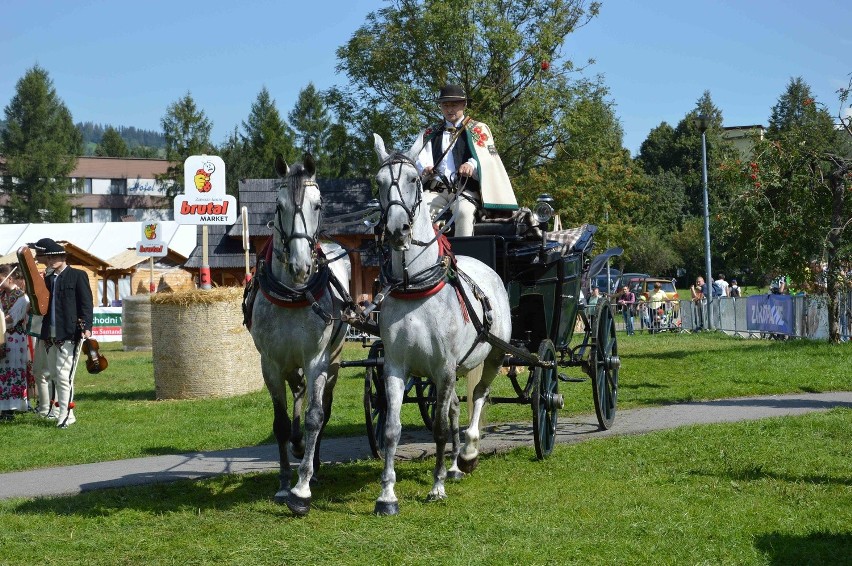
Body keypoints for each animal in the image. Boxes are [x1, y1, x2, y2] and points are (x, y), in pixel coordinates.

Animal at [250, 154, 350, 520]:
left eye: (317, 204)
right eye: (278, 206)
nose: (300, 266)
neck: (293, 293)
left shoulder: (317, 359)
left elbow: (315, 417)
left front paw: (302, 486)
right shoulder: (270, 363)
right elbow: (280, 423)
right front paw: (283, 483)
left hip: (332, 363)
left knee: (322, 409)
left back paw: (314, 462)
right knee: (297, 393)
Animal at [370, 135, 510, 516]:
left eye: (413, 180)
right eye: (379, 182)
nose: (397, 230)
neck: (416, 289)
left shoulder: (444, 368)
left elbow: (439, 430)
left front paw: (436, 487)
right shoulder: (395, 367)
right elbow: (392, 428)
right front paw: (387, 495)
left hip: (492, 357)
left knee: (478, 396)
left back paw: (469, 455)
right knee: (455, 409)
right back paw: (454, 465)